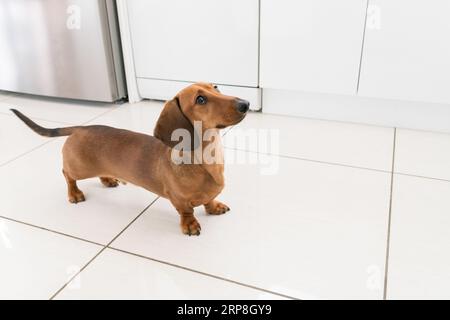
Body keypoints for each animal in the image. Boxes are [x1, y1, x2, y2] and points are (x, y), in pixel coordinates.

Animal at [10, 84, 250, 236]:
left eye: (216, 87)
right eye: (200, 99)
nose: (245, 103)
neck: (205, 159)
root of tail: (81, 128)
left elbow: (209, 199)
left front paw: (214, 206)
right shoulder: (179, 200)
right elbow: (187, 212)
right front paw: (190, 225)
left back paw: (108, 179)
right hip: (80, 169)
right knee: (67, 174)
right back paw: (74, 193)